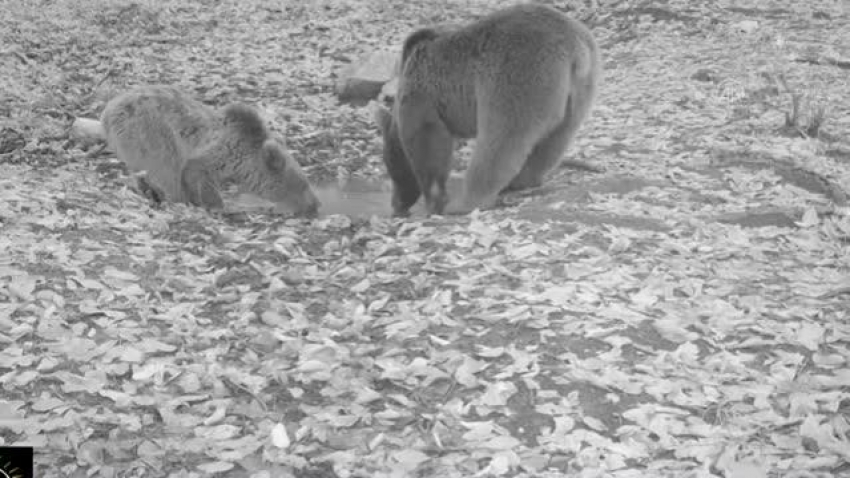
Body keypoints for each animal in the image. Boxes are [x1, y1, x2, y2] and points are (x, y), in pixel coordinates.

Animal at [101, 86, 320, 217]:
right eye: (303, 184)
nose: (316, 205)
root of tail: (109, 109)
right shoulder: (220, 154)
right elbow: (196, 173)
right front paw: (219, 205)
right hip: (151, 132)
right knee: (166, 167)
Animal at [372, 3, 604, 217]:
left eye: (389, 167)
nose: (396, 205)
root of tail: (575, 46)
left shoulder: (421, 95)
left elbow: (427, 142)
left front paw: (434, 201)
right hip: (579, 90)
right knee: (555, 138)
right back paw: (522, 181)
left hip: (515, 73)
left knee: (501, 140)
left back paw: (466, 202)